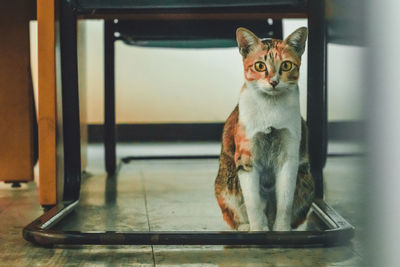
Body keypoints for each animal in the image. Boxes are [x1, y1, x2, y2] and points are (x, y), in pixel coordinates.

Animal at [214, 27, 314, 232]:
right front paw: (259, 229)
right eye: (260, 66)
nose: (273, 81)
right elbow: (253, 201)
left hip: (306, 181)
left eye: (286, 65)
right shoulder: (245, 157)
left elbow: (285, 200)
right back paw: (246, 227)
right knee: (235, 215)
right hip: (226, 184)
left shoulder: (289, 156)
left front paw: (281, 229)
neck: (271, 107)